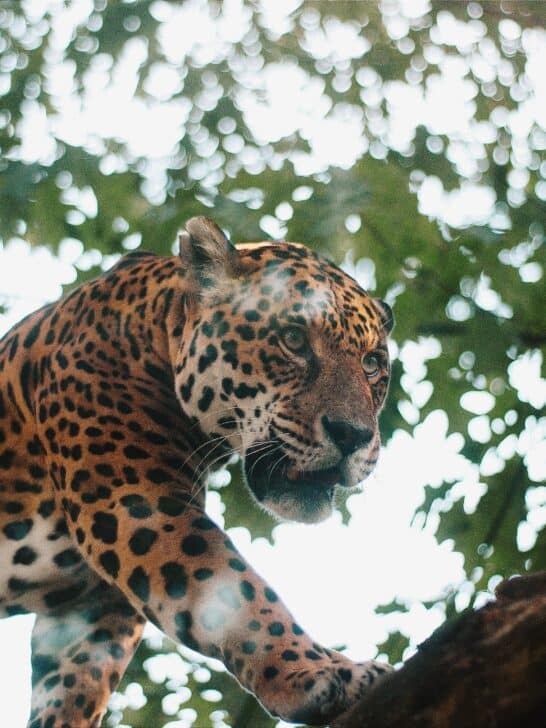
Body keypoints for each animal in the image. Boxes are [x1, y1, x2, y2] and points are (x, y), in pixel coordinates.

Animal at [0, 216, 394, 727]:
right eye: (292, 340)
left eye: (372, 363)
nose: (353, 435)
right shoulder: (139, 507)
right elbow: (241, 596)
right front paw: (316, 673)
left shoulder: (94, 608)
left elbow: (74, 688)